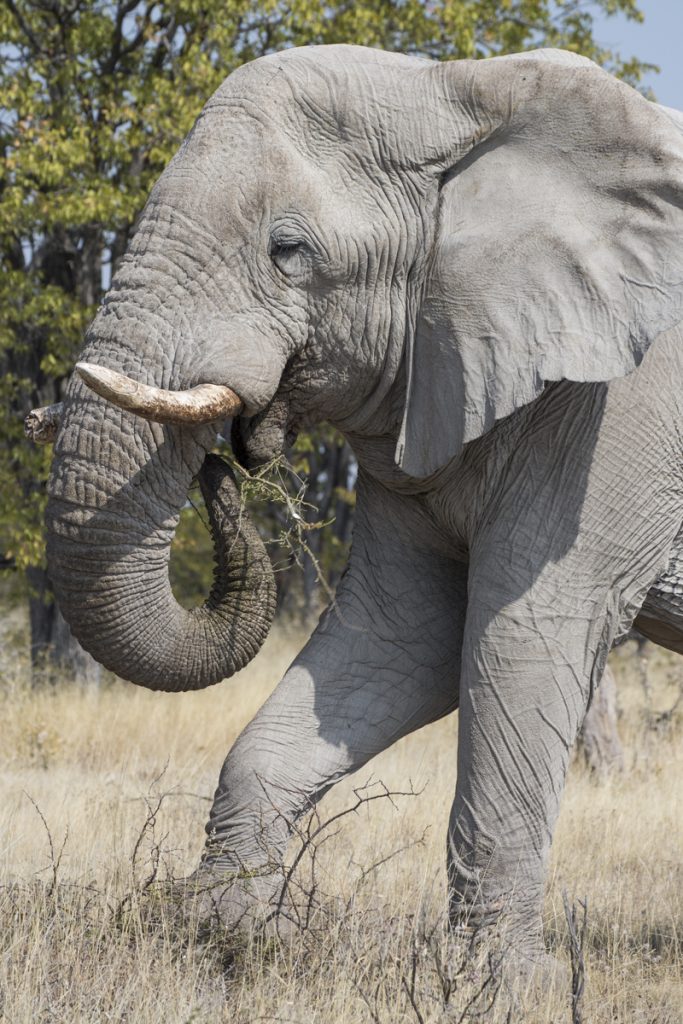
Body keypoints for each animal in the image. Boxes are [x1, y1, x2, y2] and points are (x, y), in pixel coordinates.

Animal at [41, 44, 683, 970]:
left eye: (288, 250)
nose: (223, 467)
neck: (457, 88)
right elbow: (404, 633)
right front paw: (227, 937)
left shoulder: (621, 411)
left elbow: (522, 636)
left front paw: (502, 983)